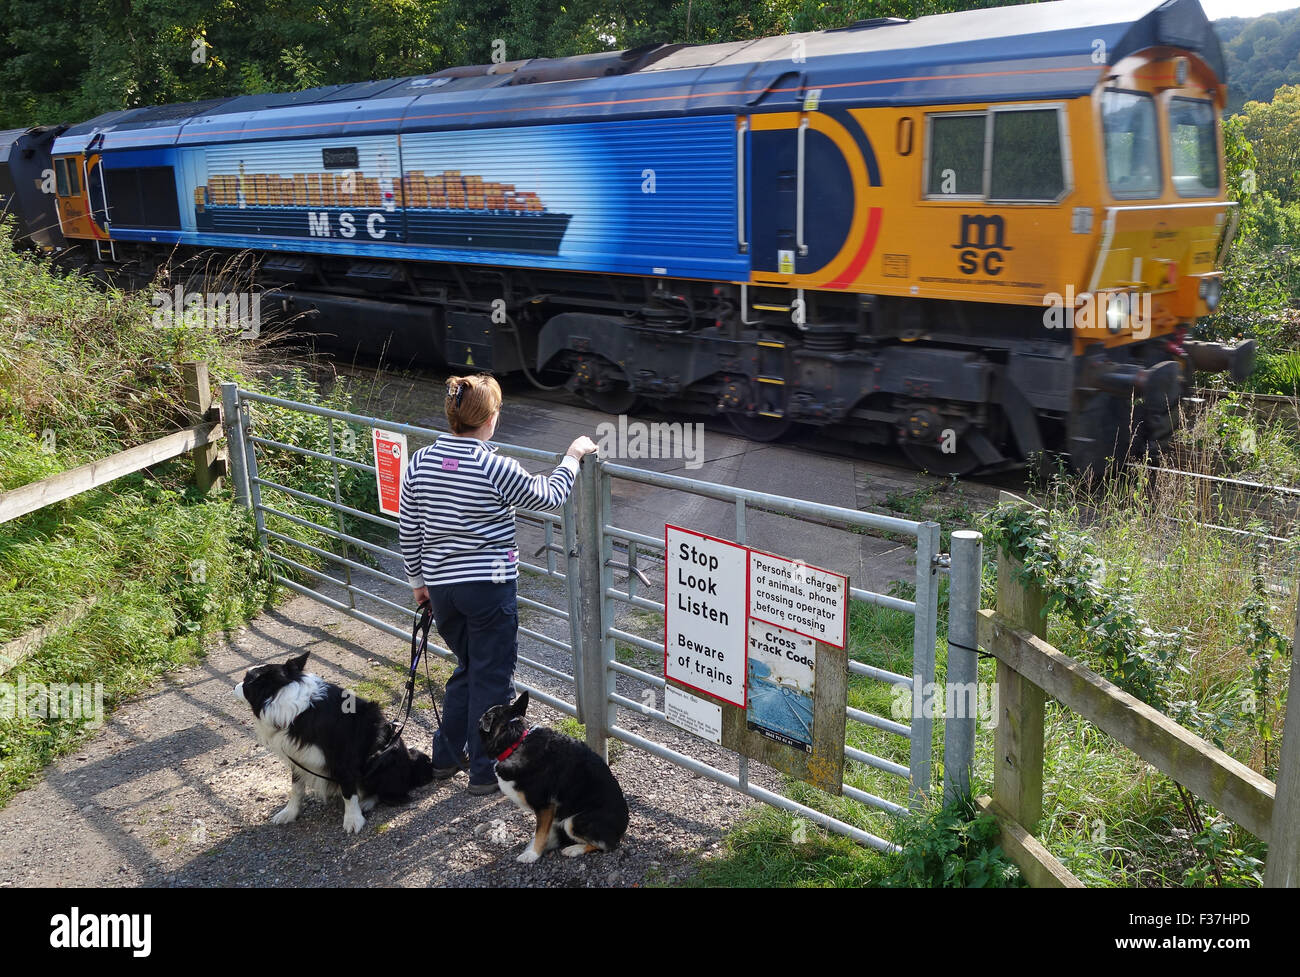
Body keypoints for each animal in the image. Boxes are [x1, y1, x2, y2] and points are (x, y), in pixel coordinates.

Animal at [478, 685, 629, 862]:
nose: (480, 719)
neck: (516, 741)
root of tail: (622, 830)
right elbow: (544, 831)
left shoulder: (545, 806)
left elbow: (541, 833)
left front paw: (532, 854)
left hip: (574, 820)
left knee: (604, 845)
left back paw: (574, 849)